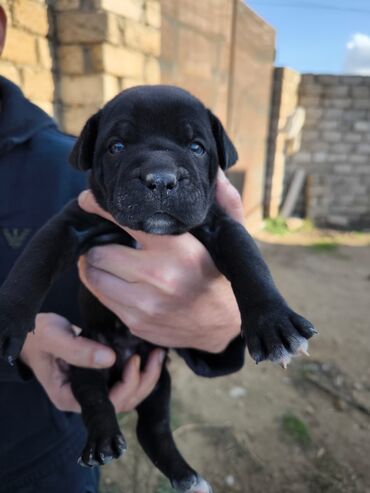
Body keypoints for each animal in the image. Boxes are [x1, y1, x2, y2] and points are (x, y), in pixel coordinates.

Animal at [0, 86, 316, 492]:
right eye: (116, 147)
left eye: (196, 147)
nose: (161, 178)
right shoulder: (69, 224)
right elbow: (30, 267)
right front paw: (7, 319)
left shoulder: (222, 225)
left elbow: (251, 265)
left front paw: (274, 323)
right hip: (86, 358)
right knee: (95, 398)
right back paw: (102, 441)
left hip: (157, 381)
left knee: (154, 428)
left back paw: (186, 477)